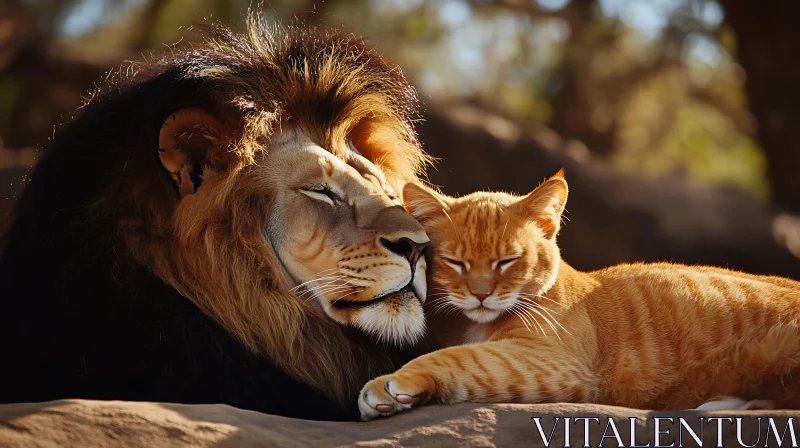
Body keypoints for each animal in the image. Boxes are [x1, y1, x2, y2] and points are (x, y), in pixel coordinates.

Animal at [358, 171, 800, 420]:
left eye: (508, 261)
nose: (482, 295)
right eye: (456, 262)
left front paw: (392, 384)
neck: (471, 324)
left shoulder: (554, 360)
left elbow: (461, 357)